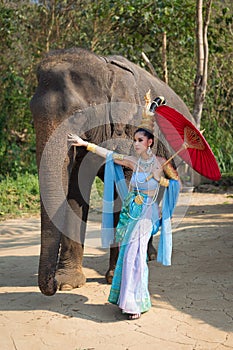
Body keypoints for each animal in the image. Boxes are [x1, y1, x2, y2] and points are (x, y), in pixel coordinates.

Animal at [29, 47, 193, 296]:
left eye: (78, 114)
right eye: (31, 111)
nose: (54, 285)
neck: (105, 68)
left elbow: (124, 191)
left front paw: (114, 276)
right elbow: (76, 192)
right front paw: (69, 282)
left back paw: (149, 256)